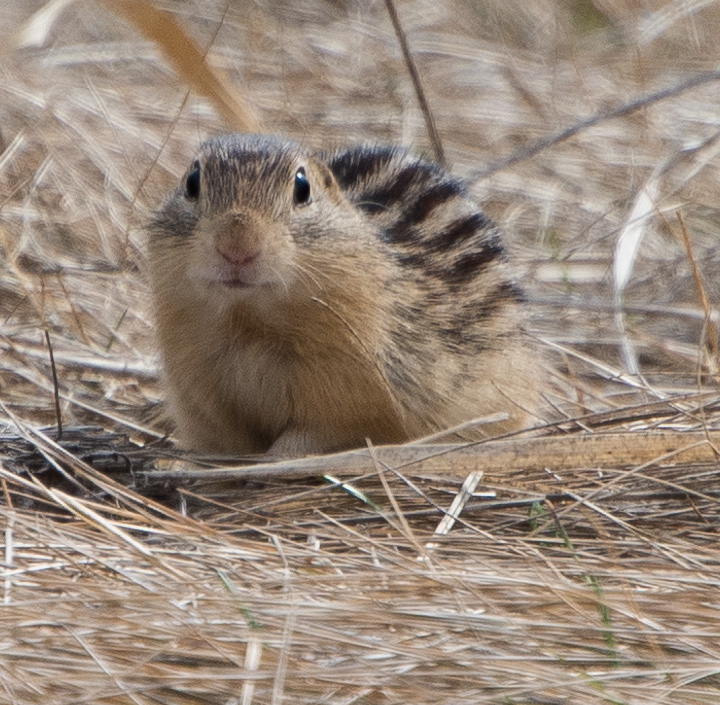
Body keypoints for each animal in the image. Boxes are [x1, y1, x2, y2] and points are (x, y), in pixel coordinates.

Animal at [148, 133, 541, 455]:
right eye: (192, 182)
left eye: (302, 187)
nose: (236, 248)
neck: (249, 322)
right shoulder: (199, 390)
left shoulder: (355, 395)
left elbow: (320, 433)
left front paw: (277, 457)